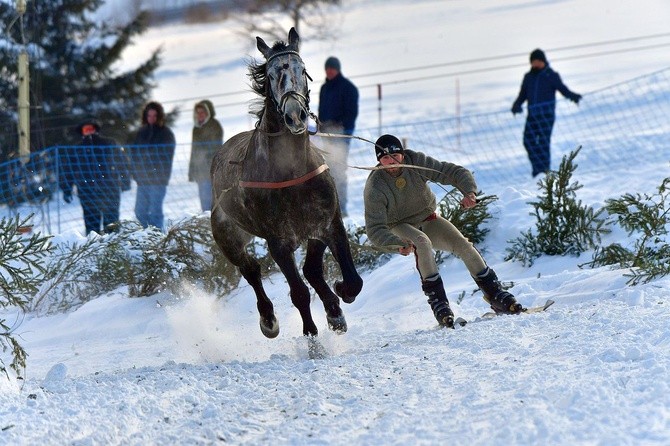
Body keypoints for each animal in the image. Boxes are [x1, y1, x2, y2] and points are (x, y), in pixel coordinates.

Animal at [213, 27, 364, 338]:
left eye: (302, 70)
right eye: (271, 75)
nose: (295, 115)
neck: (291, 172)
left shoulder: (327, 224)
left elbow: (349, 280)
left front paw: (338, 302)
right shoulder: (279, 243)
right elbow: (299, 293)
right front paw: (312, 335)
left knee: (307, 271)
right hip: (228, 237)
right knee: (250, 269)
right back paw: (268, 320)